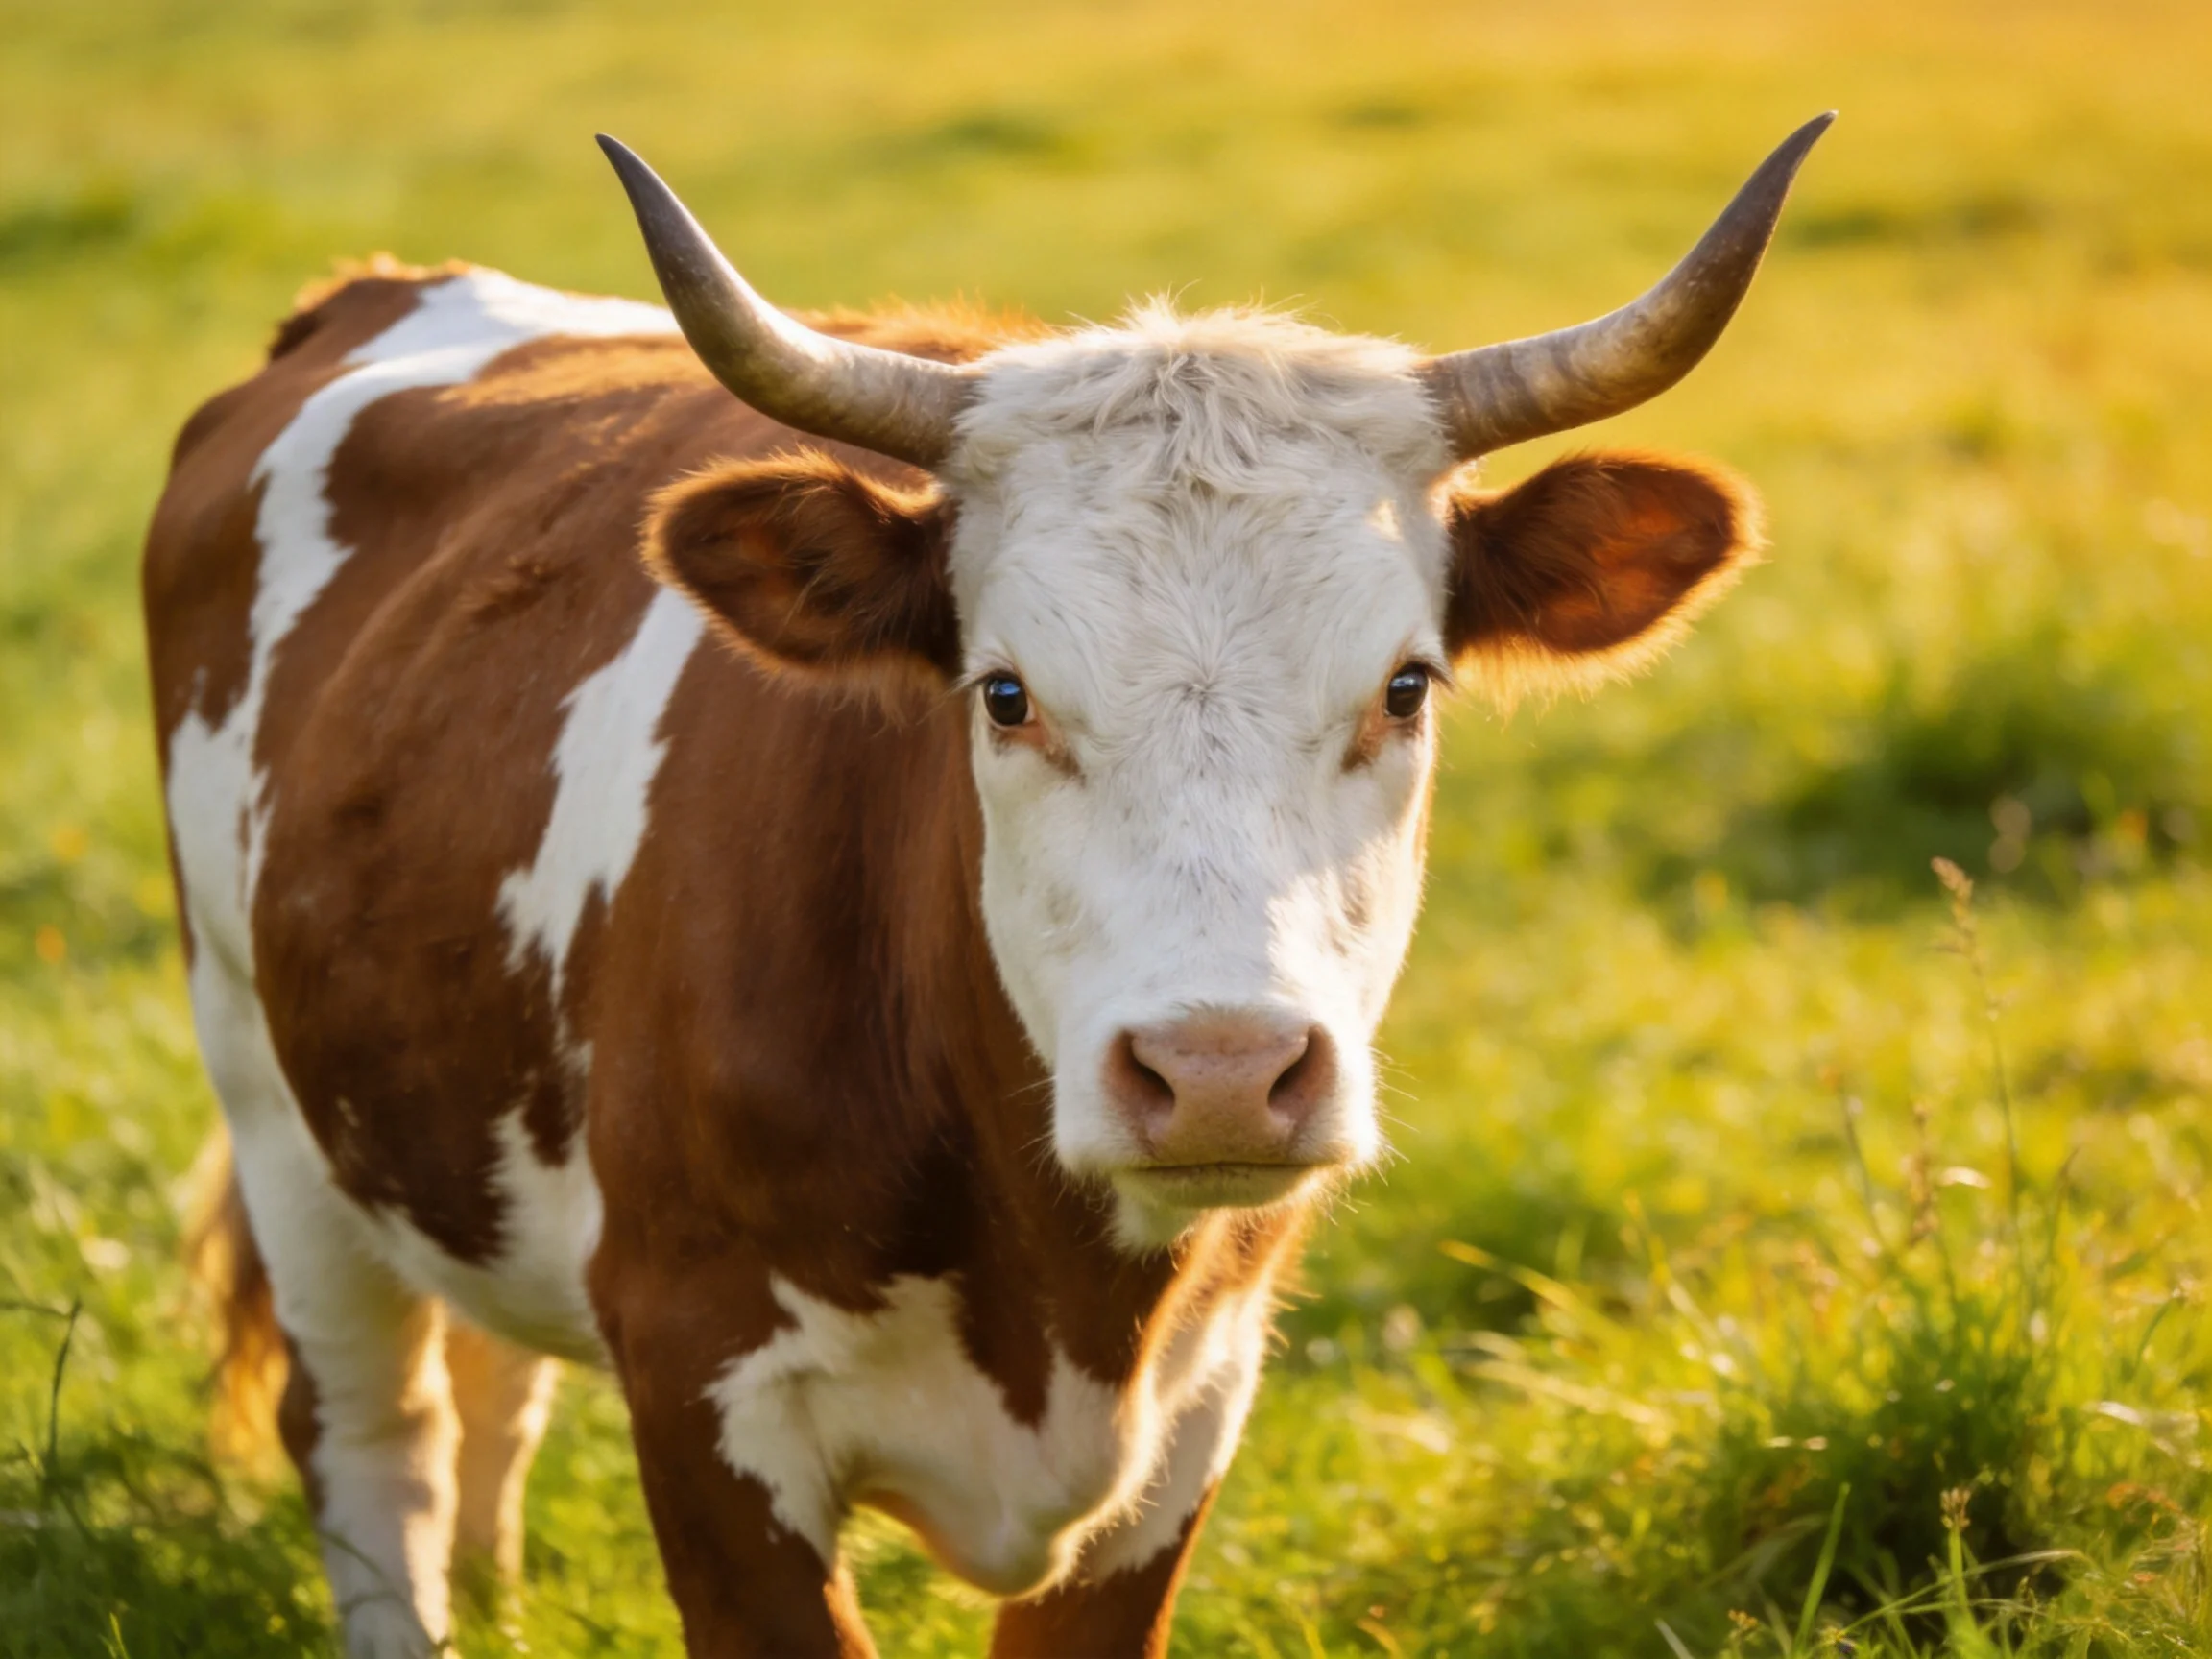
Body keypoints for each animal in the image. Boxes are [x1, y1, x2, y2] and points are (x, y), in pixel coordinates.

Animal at [149, 115, 1830, 1657]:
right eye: (1006, 694)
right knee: (378, 1438)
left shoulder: (1189, 1427)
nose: (1220, 1075)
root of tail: (373, 290)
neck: (1059, 1300)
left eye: (1406, 688)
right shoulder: (707, 1407)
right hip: (269, 1095)